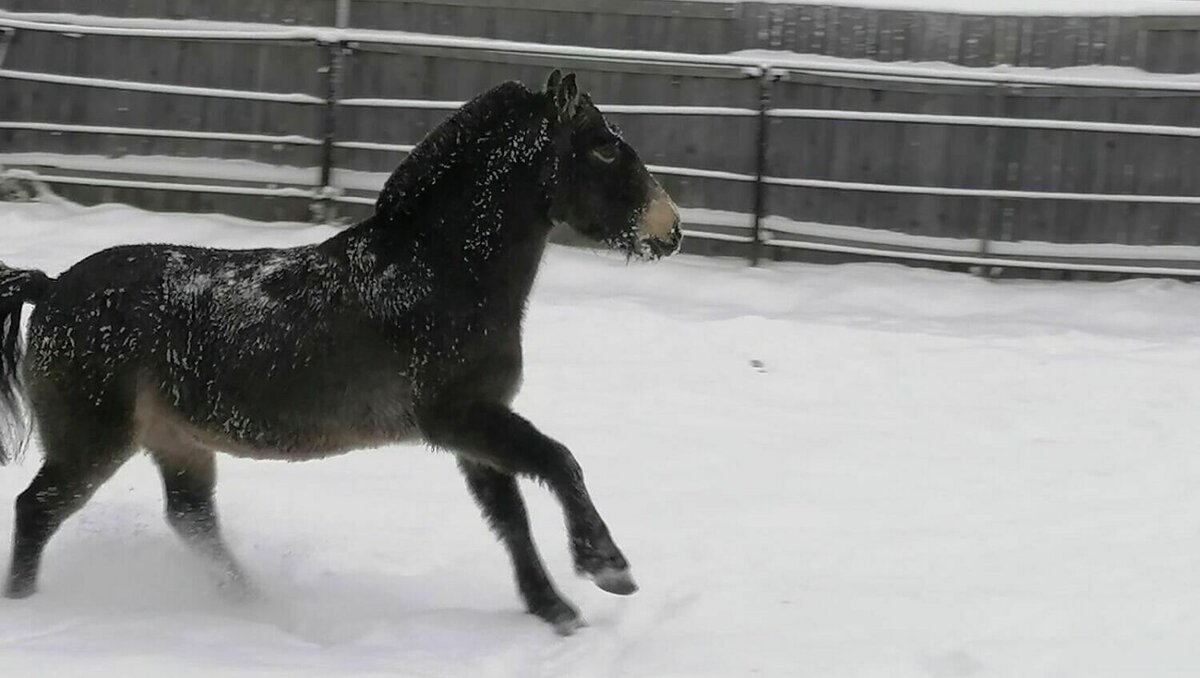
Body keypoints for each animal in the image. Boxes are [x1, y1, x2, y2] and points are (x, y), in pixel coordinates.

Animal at [0, 70, 681, 633]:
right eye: (602, 146)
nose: (671, 230)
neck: (438, 273)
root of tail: (51, 288)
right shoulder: (461, 416)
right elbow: (559, 462)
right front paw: (608, 567)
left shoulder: (473, 429)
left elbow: (510, 516)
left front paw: (554, 609)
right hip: (94, 439)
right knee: (37, 509)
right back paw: (27, 605)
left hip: (177, 441)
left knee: (191, 520)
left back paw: (253, 605)